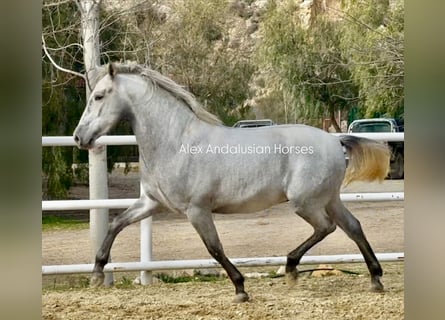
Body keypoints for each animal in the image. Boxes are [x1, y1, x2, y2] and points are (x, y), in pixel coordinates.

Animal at [73, 62, 388, 302]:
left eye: (98, 96)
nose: (79, 137)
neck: (176, 142)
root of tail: (335, 141)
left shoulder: (197, 210)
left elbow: (214, 248)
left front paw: (240, 289)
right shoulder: (152, 203)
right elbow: (116, 223)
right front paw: (96, 274)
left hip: (306, 203)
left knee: (327, 227)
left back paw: (291, 269)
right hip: (329, 199)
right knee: (352, 227)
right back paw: (375, 279)